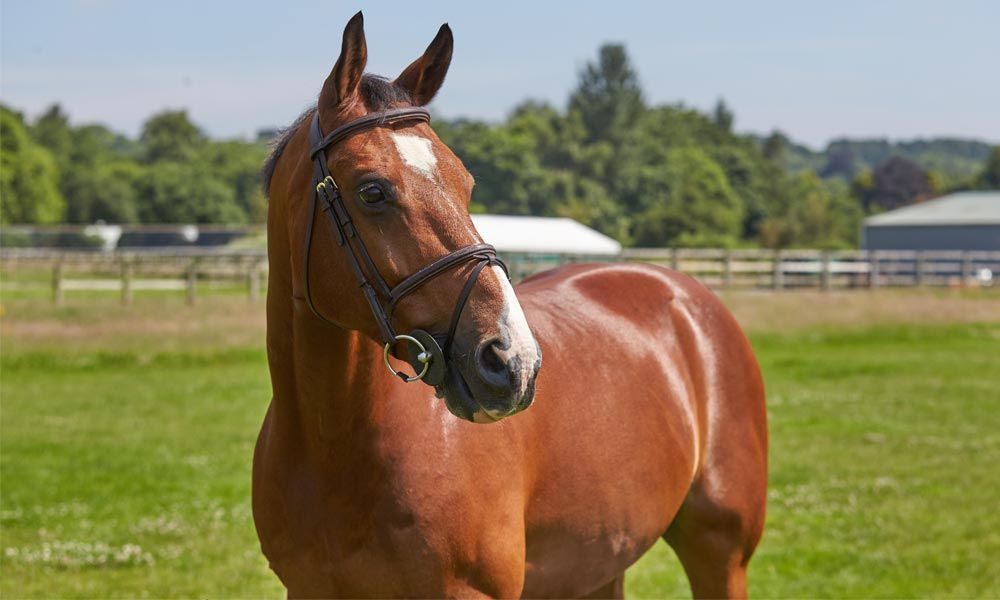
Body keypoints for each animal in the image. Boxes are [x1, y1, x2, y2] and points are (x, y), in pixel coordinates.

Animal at [254, 11, 768, 596]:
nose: (512, 361)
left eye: (466, 182)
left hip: (720, 553)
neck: (334, 447)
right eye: (372, 191)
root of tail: (687, 296)